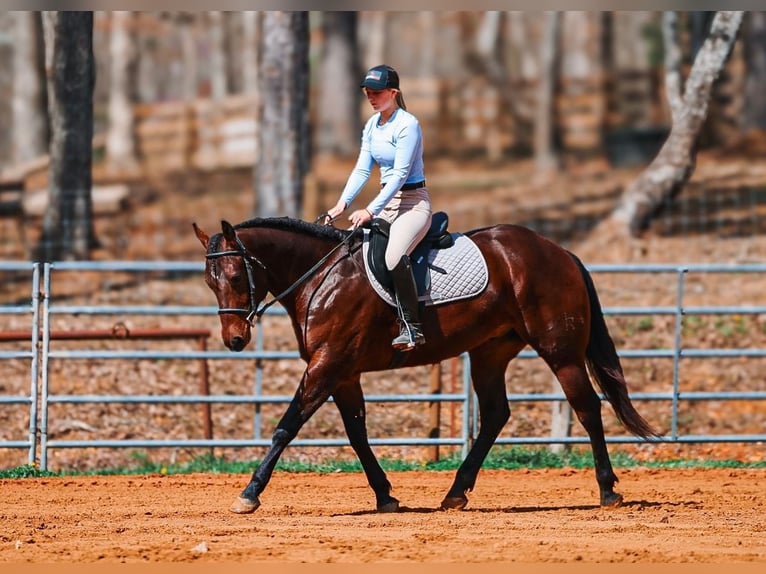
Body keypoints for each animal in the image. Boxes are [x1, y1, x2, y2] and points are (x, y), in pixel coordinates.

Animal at [193, 216, 658, 514]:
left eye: (235, 277)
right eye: (210, 282)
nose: (235, 340)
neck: (321, 275)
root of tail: (559, 251)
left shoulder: (327, 365)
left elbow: (286, 426)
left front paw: (249, 494)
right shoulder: (342, 373)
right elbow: (357, 434)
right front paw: (385, 496)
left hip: (560, 352)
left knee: (587, 408)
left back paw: (607, 490)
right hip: (489, 353)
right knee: (495, 414)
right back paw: (456, 493)